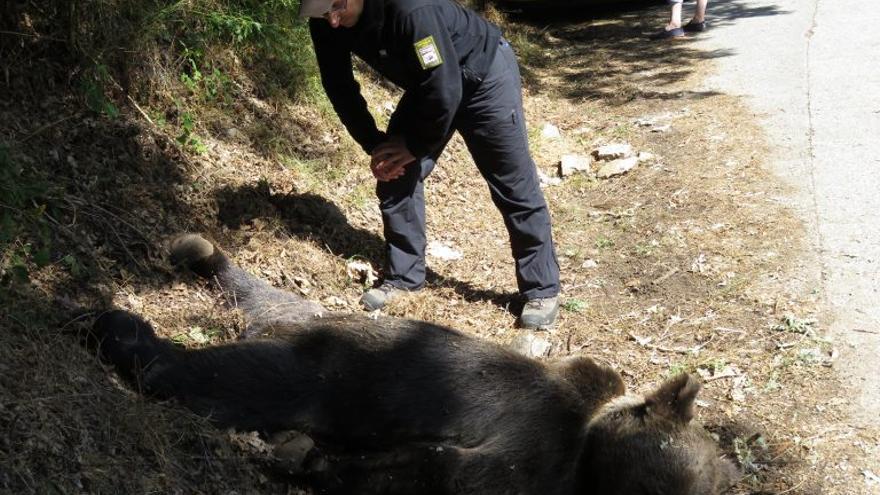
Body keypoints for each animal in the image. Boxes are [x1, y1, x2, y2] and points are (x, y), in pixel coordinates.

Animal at [91, 235, 736, 495]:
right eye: (667, 482)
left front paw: (309, 462)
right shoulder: (539, 438)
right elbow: (453, 470)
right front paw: (312, 465)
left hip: (297, 316)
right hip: (324, 370)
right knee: (219, 379)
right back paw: (117, 325)